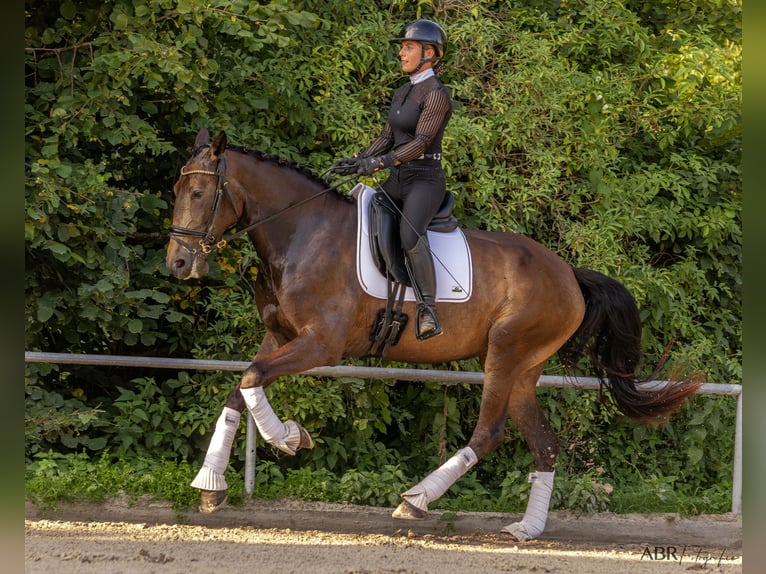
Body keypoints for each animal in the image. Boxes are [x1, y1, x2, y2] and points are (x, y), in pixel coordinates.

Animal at [166, 128, 704, 544]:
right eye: (177, 190)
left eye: (199, 195)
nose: (178, 264)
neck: (301, 232)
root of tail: (569, 273)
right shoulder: (280, 337)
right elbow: (240, 389)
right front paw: (211, 484)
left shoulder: (321, 344)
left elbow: (251, 380)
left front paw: (289, 439)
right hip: (525, 369)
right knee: (544, 443)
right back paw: (526, 529)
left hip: (504, 354)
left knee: (488, 433)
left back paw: (416, 500)